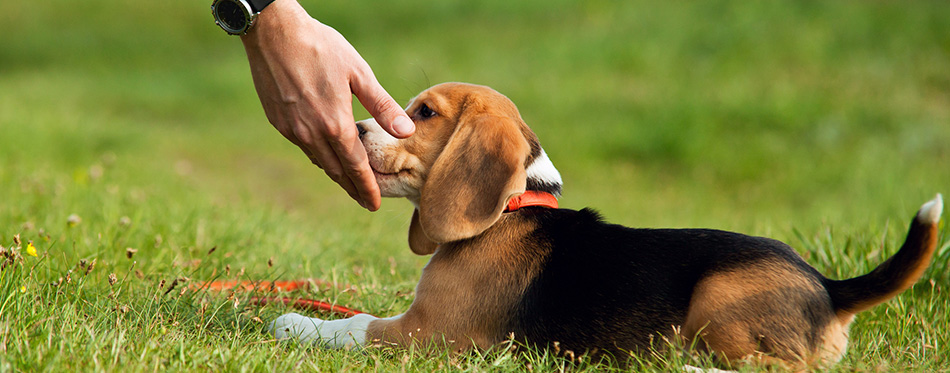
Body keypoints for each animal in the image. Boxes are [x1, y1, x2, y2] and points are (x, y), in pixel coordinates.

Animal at [272, 83, 948, 368]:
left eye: (425, 113)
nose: (358, 128)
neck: (512, 210)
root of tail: (829, 287)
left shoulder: (426, 335)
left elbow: (354, 325)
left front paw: (295, 322)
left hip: (719, 301)